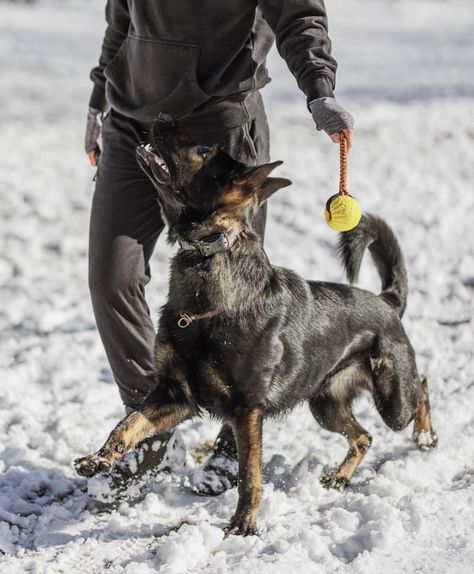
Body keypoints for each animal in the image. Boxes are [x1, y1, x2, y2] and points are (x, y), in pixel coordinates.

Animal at [75, 115, 436, 536]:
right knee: (363, 436)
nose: (161, 118)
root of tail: (386, 302)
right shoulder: (175, 396)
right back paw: (341, 476)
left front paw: (243, 524)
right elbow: (128, 425)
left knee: (421, 389)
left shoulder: (246, 411)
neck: (209, 261)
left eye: (202, 151)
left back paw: (425, 437)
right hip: (325, 406)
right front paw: (98, 459)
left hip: (392, 399)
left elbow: (249, 475)